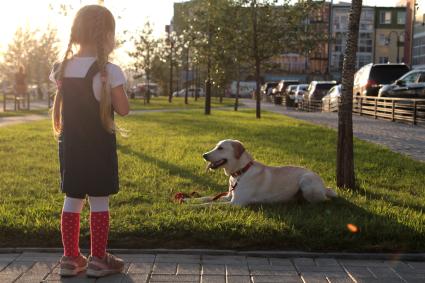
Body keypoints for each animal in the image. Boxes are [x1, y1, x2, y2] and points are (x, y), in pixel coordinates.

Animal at [197, 140, 336, 206]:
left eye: (221, 148)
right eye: (216, 146)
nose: (204, 155)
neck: (240, 172)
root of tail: (324, 186)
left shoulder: (235, 203)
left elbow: (208, 204)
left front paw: (193, 207)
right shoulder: (228, 197)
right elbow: (207, 198)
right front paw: (192, 200)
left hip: (307, 180)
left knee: (321, 201)